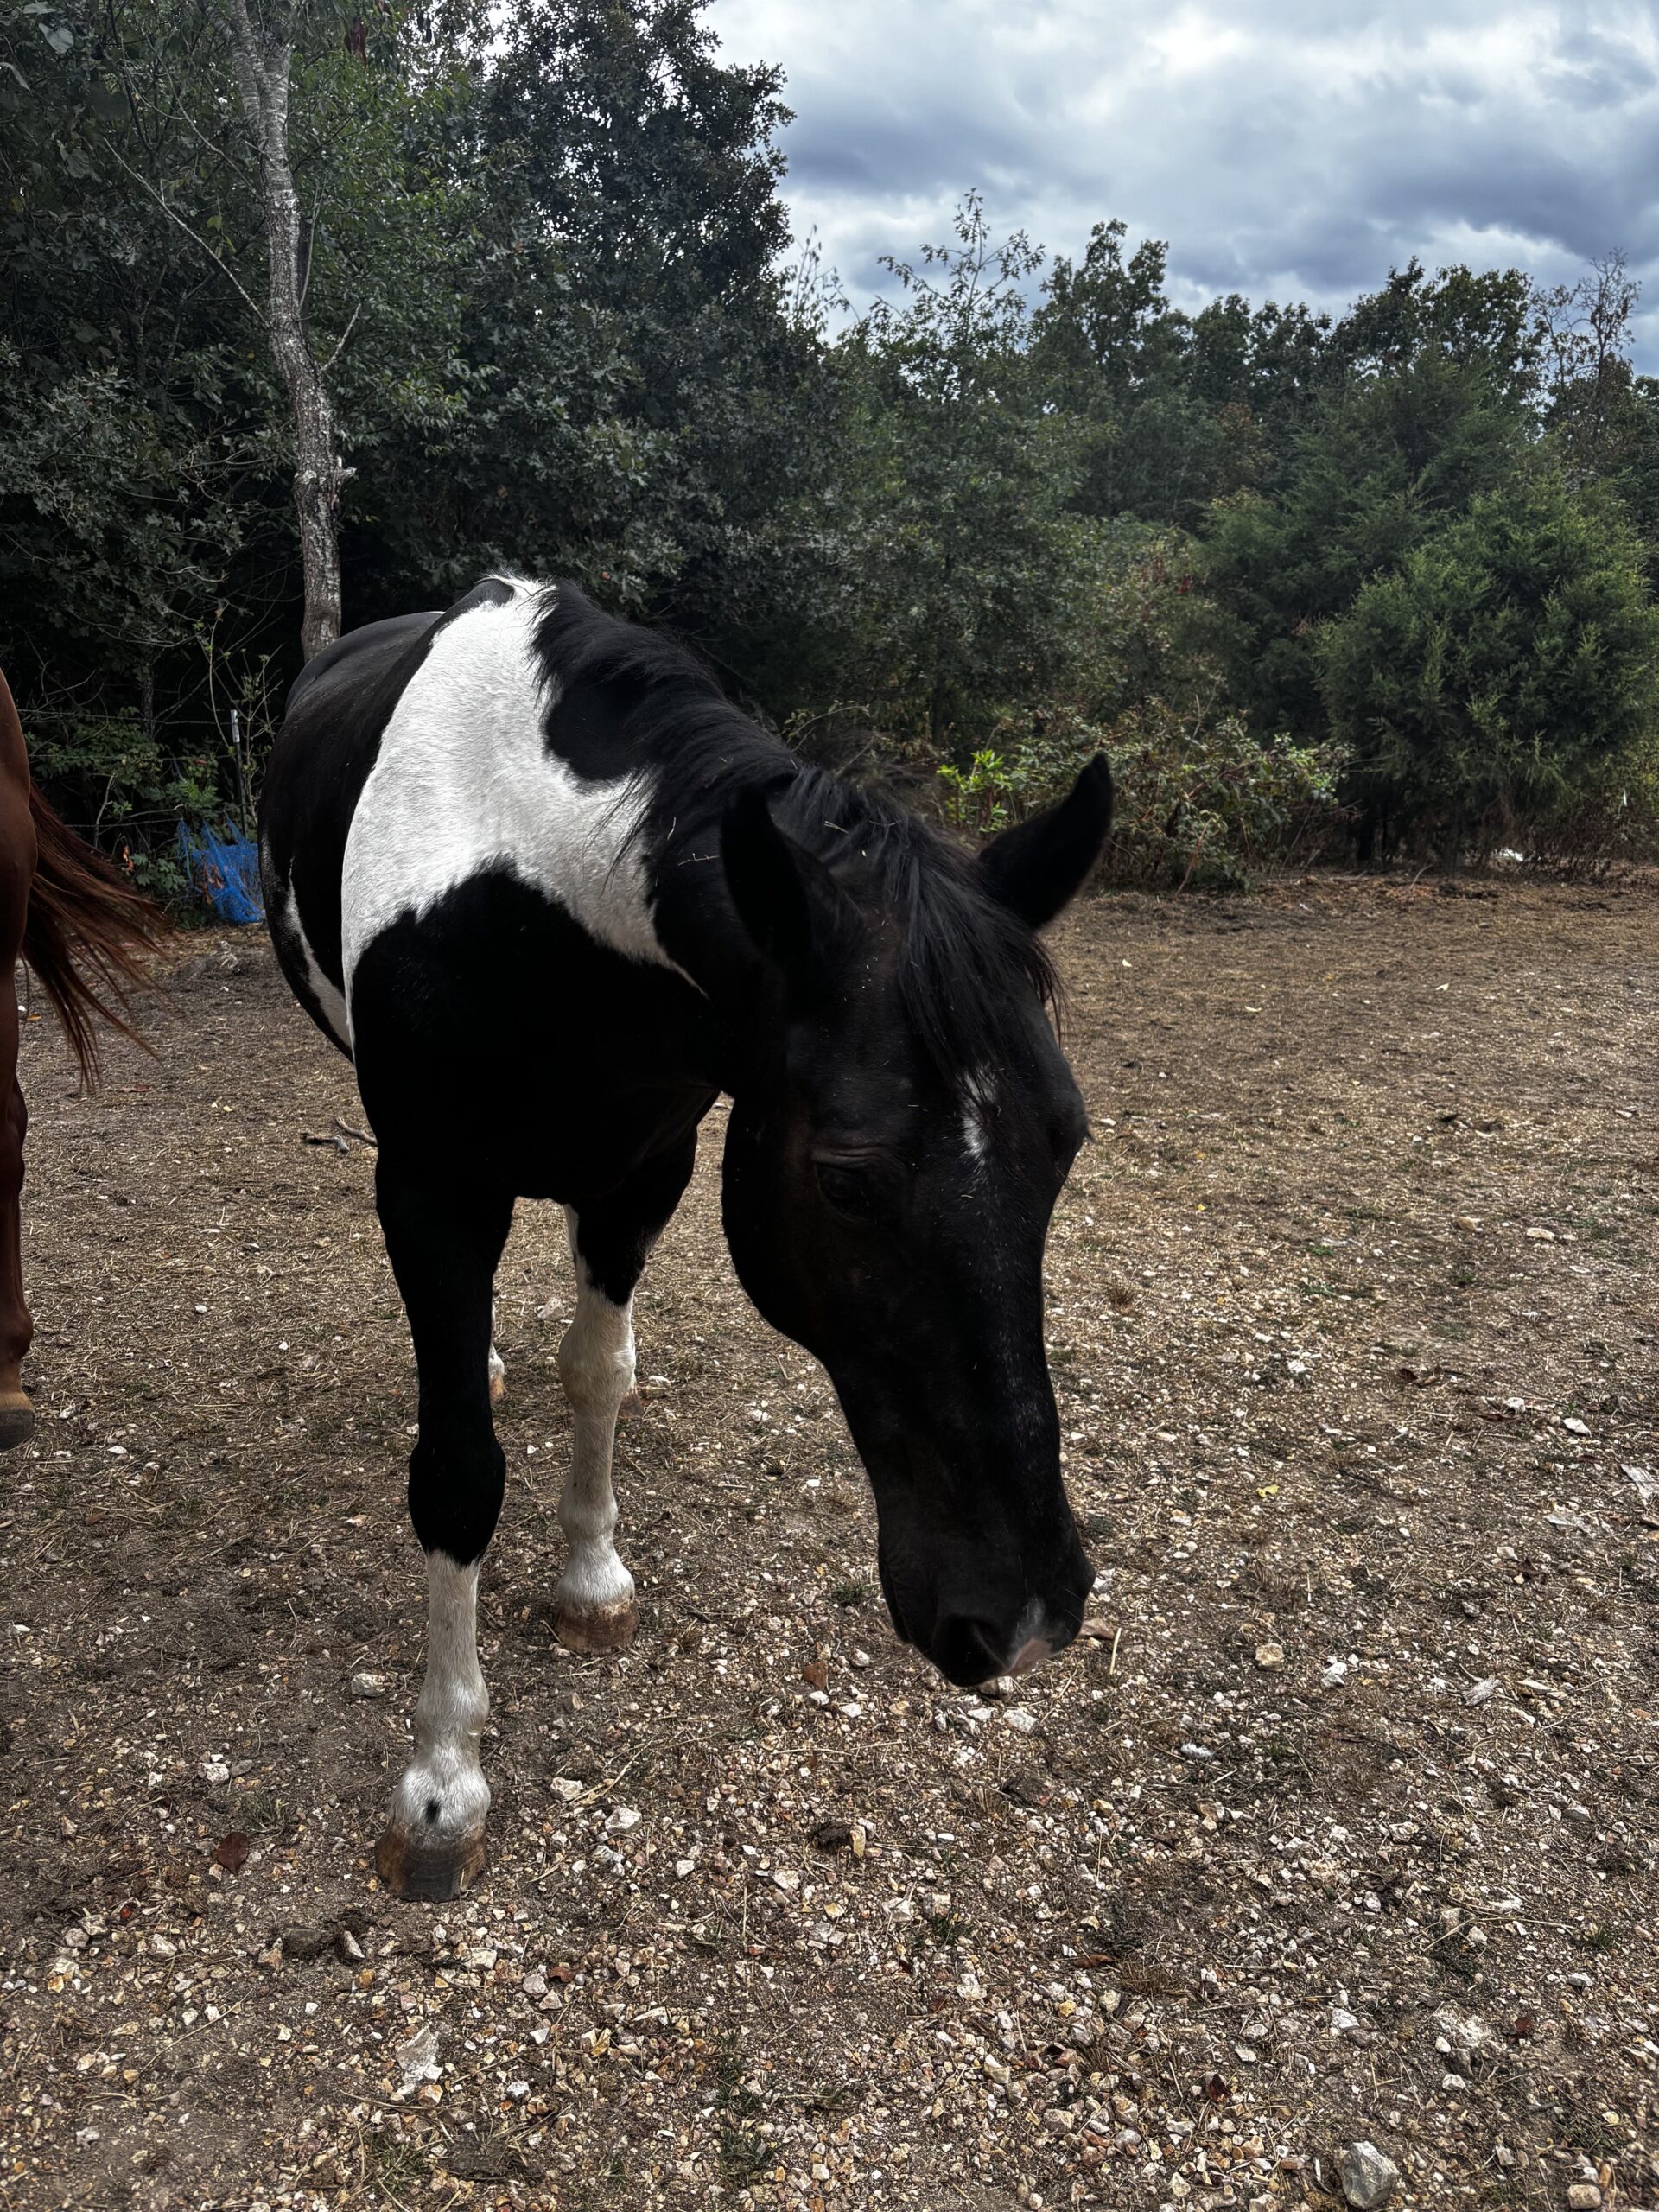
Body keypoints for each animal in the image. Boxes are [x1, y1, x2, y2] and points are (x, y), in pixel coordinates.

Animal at [259, 576, 1113, 1900]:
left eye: (1066, 1140)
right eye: (847, 1182)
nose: (1024, 1615)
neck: (528, 890)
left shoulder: (646, 1168)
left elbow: (597, 1372)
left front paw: (590, 1578)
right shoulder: (433, 1188)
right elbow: (457, 1474)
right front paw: (442, 1781)